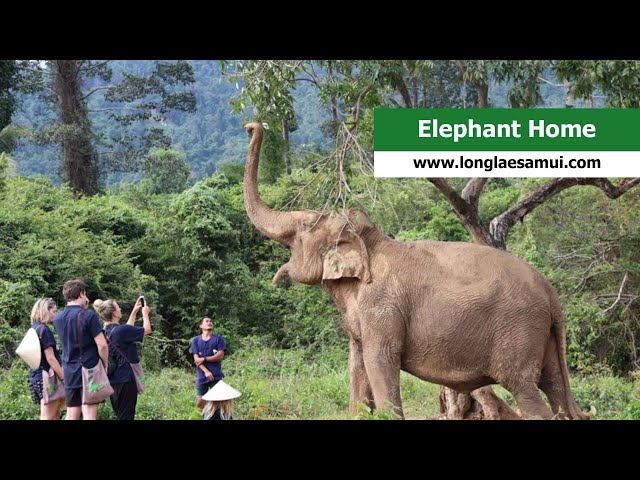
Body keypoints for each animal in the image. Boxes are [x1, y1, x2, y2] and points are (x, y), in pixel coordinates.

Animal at [242, 122, 588, 418]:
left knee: (525, 390)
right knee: (555, 388)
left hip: (519, 331)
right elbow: (357, 366)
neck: (370, 243)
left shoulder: (381, 308)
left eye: (301, 230)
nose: (251, 125)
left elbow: (380, 362)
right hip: (542, 336)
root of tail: (552, 296)